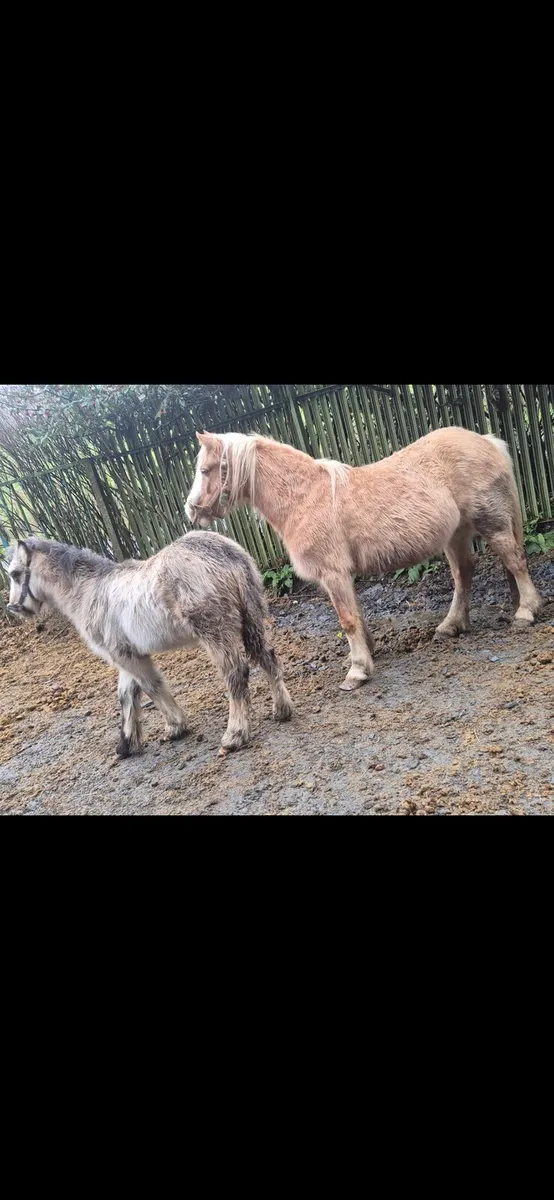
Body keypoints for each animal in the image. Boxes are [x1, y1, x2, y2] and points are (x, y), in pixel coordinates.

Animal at [6, 532, 293, 755]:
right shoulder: (126, 654)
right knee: (267, 656)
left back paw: (235, 735)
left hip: (216, 632)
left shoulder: (124, 656)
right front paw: (126, 744)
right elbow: (126, 693)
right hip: (251, 621)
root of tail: (225, 553)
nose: (14, 608)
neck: (90, 591)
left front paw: (176, 726)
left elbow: (151, 686)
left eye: (16, 574)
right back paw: (282, 710)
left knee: (236, 674)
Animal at [185, 426, 543, 692]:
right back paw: (451, 625)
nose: (191, 510)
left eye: (205, 470)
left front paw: (357, 672)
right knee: (464, 574)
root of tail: (485, 440)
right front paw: (365, 655)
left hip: (491, 523)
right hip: (456, 534)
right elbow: (357, 615)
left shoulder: (333, 573)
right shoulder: (343, 575)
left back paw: (525, 612)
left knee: (515, 560)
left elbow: (347, 620)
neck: (305, 497)